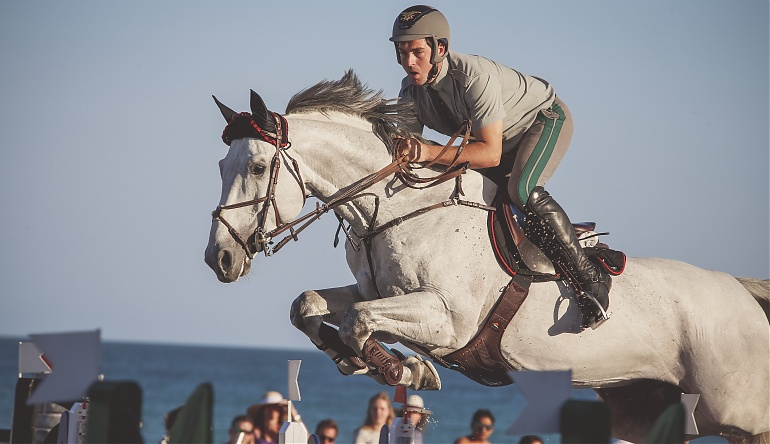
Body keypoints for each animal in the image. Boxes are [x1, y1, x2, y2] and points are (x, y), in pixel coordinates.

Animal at [204, 71, 768, 442]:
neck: (397, 207)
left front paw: (407, 372)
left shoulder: (446, 319)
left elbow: (358, 321)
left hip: (739, 412)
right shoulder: (377, 292)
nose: (220, 259)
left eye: (256, 168)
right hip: (648, 411)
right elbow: (310, 305)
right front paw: (363, 360)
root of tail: (743, 294)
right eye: (221, 166)